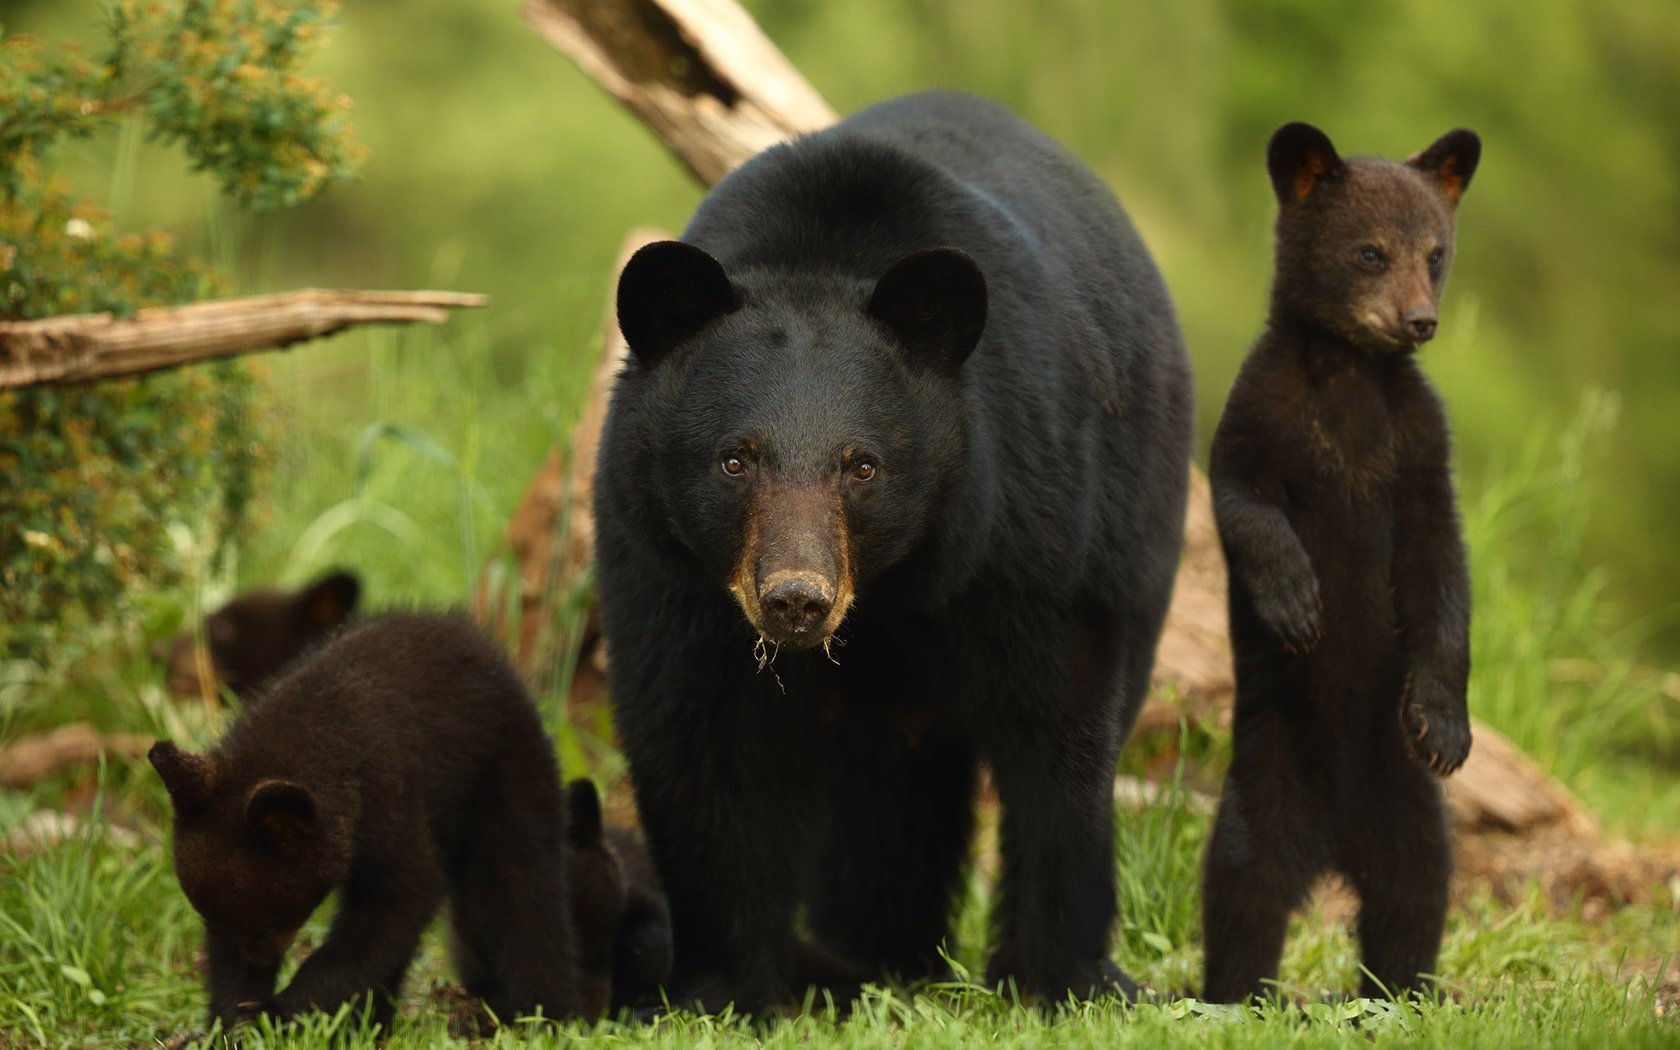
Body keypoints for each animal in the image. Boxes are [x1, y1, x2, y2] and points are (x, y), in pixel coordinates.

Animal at [151, 611, 584, 1028]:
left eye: (270, 924)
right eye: (210, 918)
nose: (257, 961)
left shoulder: (387, 797)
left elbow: (399, 899)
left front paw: (282, 1011)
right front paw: (235, 1017)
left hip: (508, 772)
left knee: (524, 883)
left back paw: (545, 1014)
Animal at [598, 89, 1189, 1007]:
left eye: (862, 464)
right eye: (735, 459)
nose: (795, 599)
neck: (886, 594)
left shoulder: (1027, 526)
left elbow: (1059, 725)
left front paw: (1060, 979)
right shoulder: (663, 564)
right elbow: (697, 739)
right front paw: (722, 987)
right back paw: (872, 955)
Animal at [1202, 122, 1478, 1001]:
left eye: (1435, 252)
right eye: (1369, 252)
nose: (1419, 321)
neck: (1352, 372)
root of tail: (1333, 844)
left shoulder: (1419, 448)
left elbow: (1441, 570)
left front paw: (1445, 725)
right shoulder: (1259, 415)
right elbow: (1245, 502)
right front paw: (1297, 606)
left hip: (1412, 809)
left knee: (1415, 895)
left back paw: (1398, 995)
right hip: (1262, 786)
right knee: (1243, 894)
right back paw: (1236, 996)